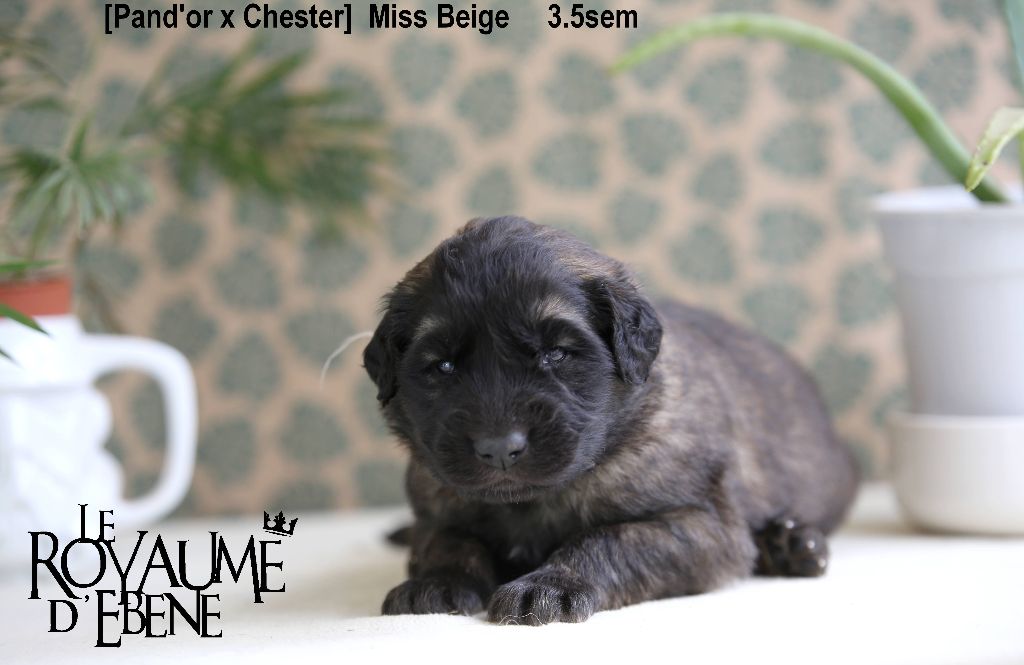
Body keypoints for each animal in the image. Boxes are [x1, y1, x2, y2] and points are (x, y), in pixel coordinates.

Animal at [363, 216, 859, 625]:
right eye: (443, 366)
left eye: (556, 353)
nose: (499, 448)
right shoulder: (436, 505)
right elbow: (447, 541)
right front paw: (437, 581)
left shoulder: (703, 524)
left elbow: (608, 540)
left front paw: (549, 585)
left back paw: (792, 546)